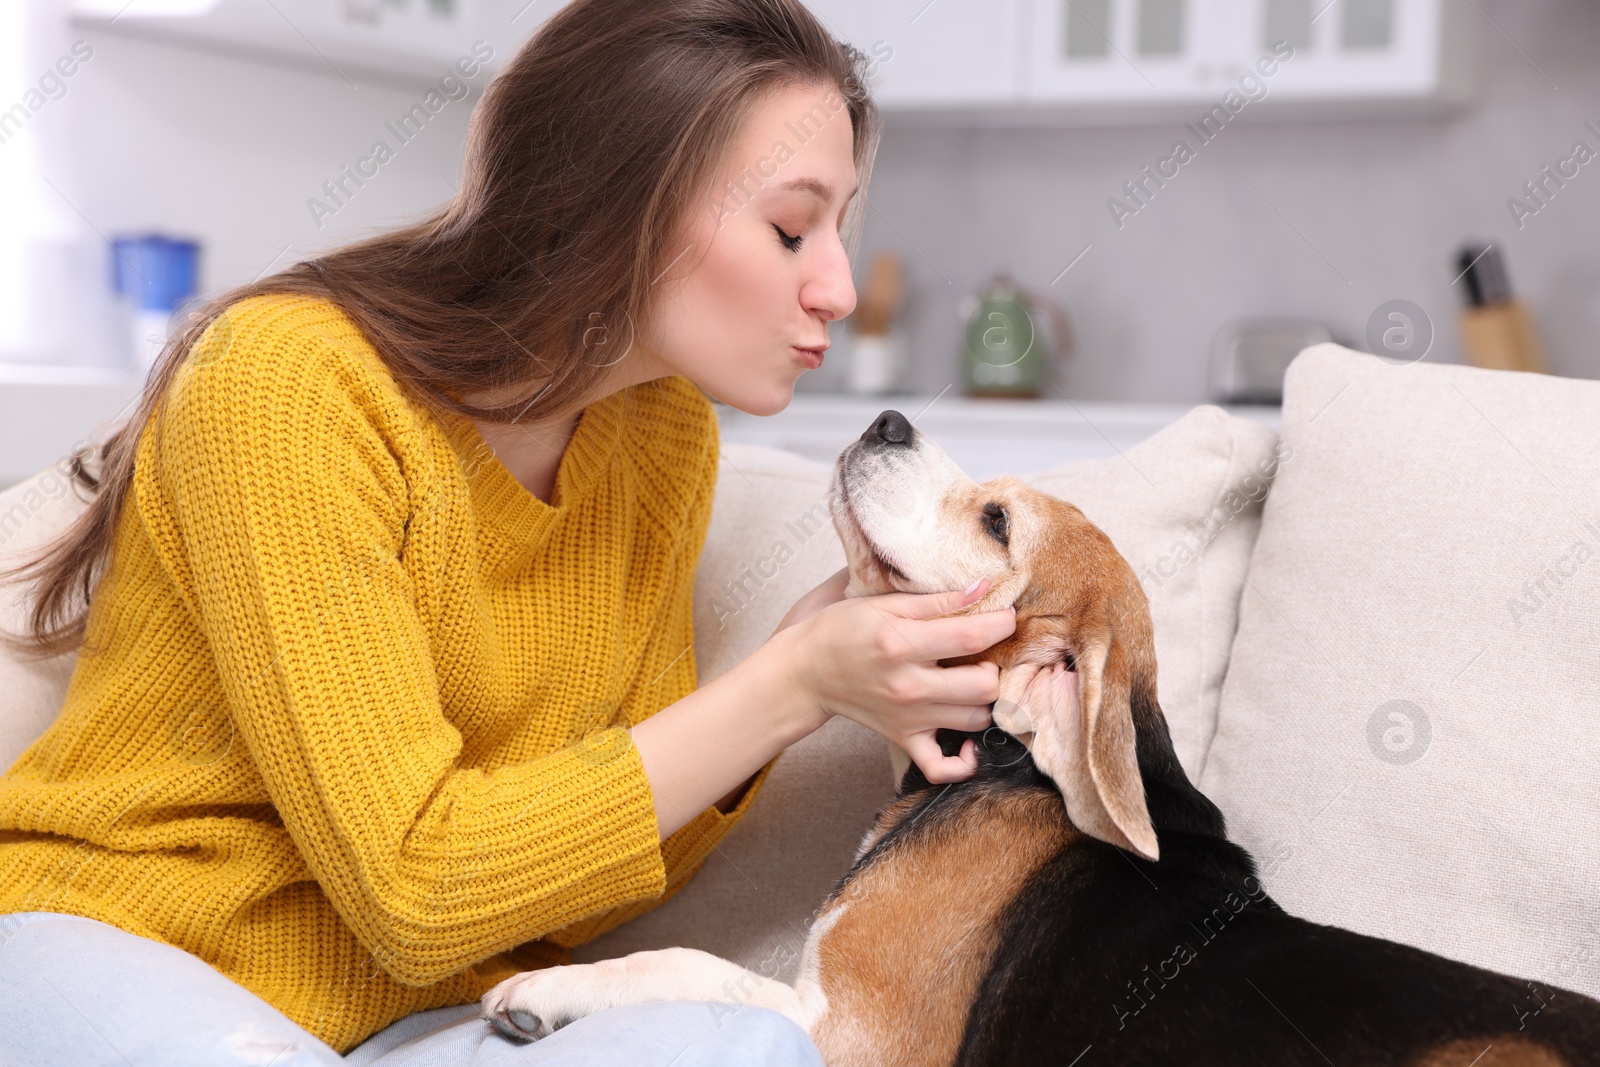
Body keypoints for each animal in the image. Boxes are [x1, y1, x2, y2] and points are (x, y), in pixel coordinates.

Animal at [476, 406, 1600, 1062]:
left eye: (997, 523)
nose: (889, 417)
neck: (1003, 764)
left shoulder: (850, 1035)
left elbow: (688, 962)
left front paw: (546, 988)